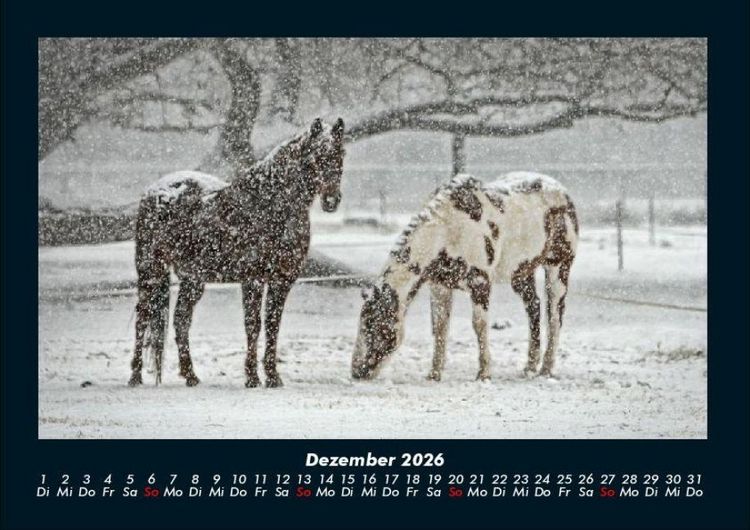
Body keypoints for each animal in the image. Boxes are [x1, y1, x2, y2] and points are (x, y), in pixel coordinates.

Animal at [128, 117, 345, 388]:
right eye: (316, 156)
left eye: (340, 153)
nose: (331, 200)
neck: (270, 205)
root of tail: (155, 191)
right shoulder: (253, 279)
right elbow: (253, 325)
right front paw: (252, 377)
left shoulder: (282, 280)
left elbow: (273, 325)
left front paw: (273, 376)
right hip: (151, 270)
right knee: (143, 317)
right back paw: (135, 376)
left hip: (192, 279)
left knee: (181, 320)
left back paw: (191, 375)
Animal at [351, 172, 578, 381]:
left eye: (375, 325)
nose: (357, 372)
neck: (448, 230)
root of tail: (563, 192)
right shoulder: (440, 286)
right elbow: (441, 327)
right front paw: (434, 374)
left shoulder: (480, 283)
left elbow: (479, 325)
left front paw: (484, 373)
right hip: (521, 274)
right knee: (534, 308)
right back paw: (530, 367)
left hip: (558, 268)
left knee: (555, 315)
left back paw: (546, 369)